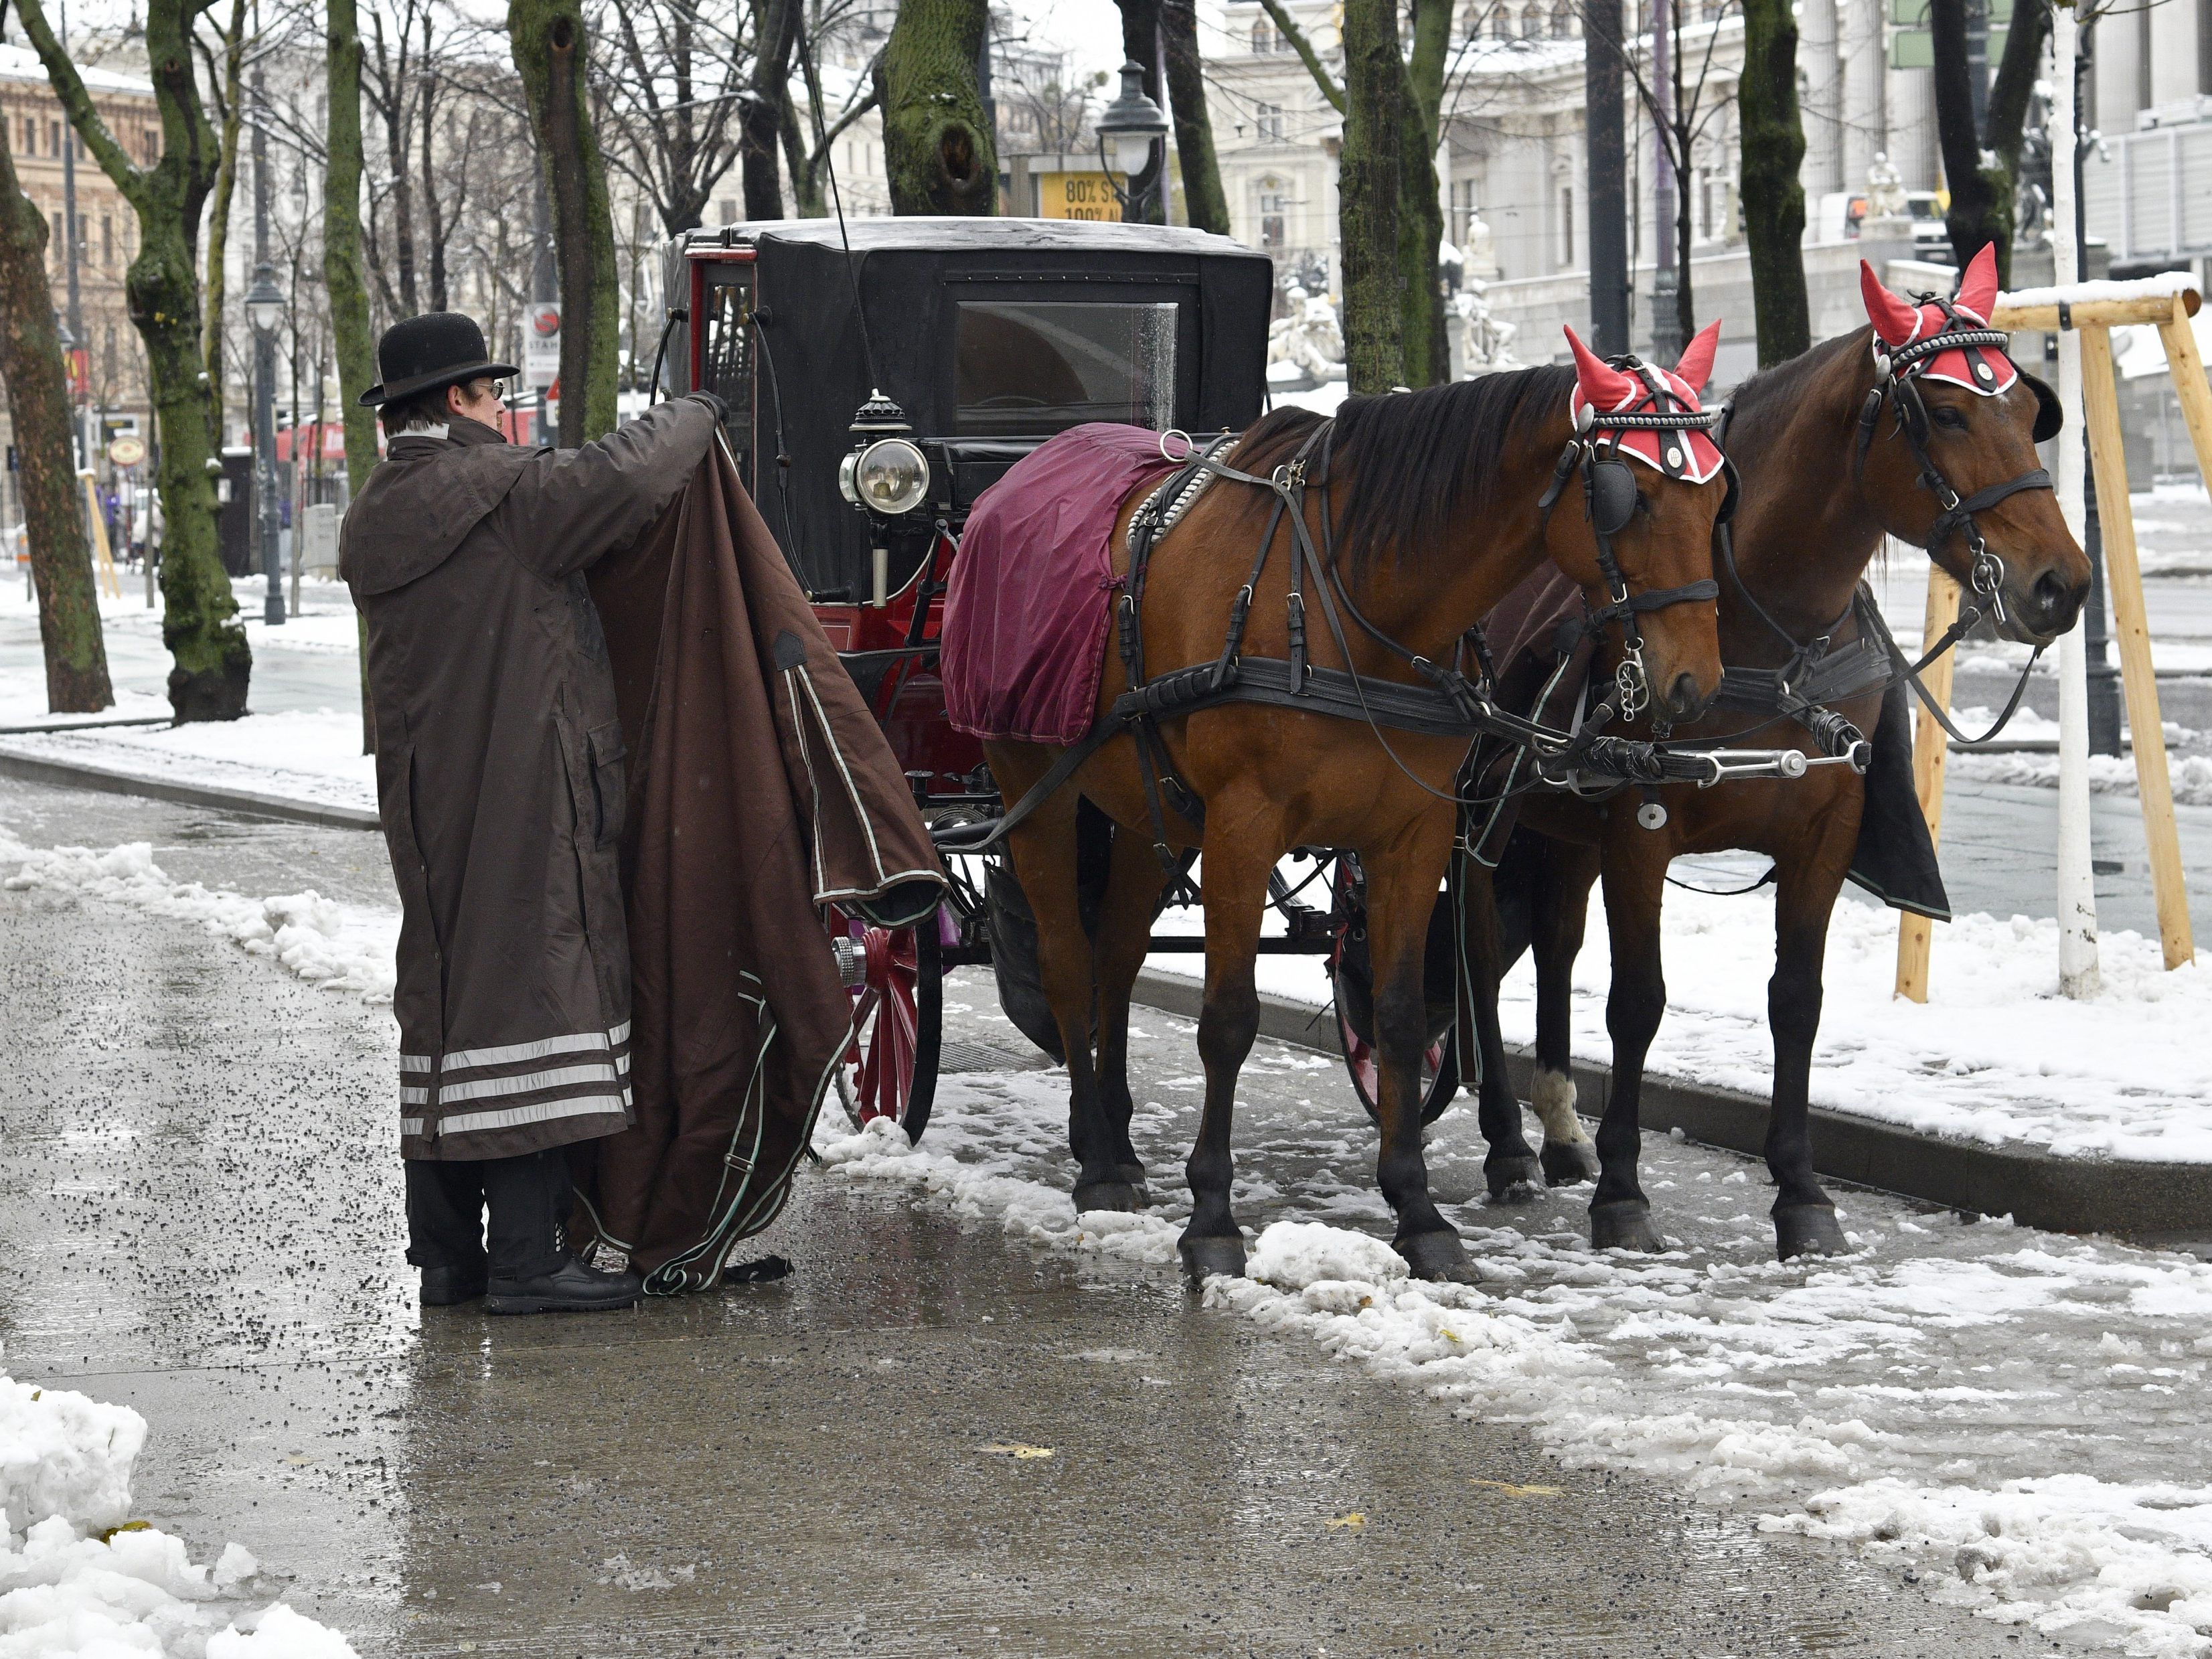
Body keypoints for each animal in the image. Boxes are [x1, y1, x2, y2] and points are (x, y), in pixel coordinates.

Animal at [995, 327, 1734, 1283]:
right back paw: (1092, 1160)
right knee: (1065, 964)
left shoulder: (1411, 832)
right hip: (1034, 787)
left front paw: (1418, 1214)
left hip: (1140, 802)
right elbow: (1226, 1020)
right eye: (1626, 498)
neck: (1349, 596)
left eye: (1718, 496)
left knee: (1115, 957)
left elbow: (1396, 1015)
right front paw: (1212, 1221)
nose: (1694, 685)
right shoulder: (1241, 827)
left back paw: (1116, 1148)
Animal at [1468, 253, 2087, 1256]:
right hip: (1477, 823)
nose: (2060, 585)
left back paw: (1557, 1133)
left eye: (2031, 409)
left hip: (1558, 832)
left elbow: (1797, 999)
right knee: (1481, 956)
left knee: (1555, 948)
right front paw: (1624, 1195)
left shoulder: (1823, 831)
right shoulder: (1639, 827)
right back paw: (1505, 1146)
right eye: (1946, 413)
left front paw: (1800, 1192)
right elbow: (1637, 1002)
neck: (1765, 632)